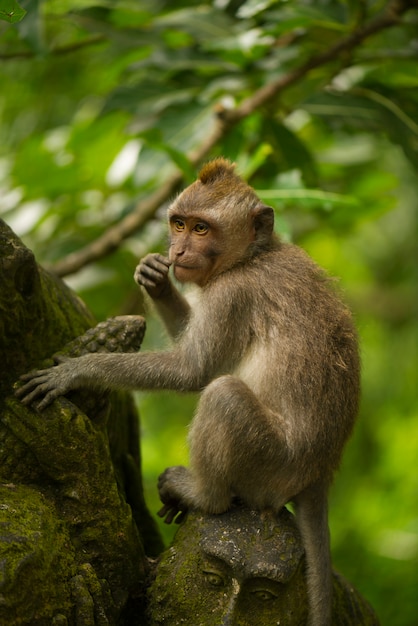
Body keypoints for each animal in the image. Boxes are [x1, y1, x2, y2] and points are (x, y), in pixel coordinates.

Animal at [17, 157, 360, 624]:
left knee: (223, 394)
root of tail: (322, 472)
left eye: (201, 229)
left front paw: (76, 371)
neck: (254, 255)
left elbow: (192, 371)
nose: (178, 253)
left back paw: (202, 495)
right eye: (178, 224)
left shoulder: (233, 293)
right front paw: (156, 280)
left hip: (271, 468)